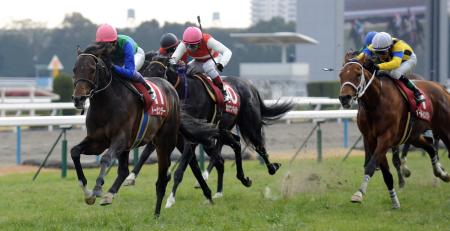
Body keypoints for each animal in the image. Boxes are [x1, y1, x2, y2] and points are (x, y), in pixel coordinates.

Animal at [70, 45, 218, 217]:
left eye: (92, 70)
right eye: (74, 69)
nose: (78, 99)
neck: (106, 104)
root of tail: (171, 89)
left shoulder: (121, 139)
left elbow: (106, 158)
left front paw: (98, 188)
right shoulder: (97, 141)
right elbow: (74, 151)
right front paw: (88, 193)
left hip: (165, 141)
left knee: (163, 177)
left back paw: (157, 213)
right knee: (126, 170)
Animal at [125, 54, 296, 208]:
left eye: (160, 70)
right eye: (147, 69)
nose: (150, 88)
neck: (185, 92)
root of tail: (250, 86)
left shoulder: (190, 139)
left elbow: (180, 169)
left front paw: (170, 199)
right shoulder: (184, 136)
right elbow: (185, 163)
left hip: (248, 124)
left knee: (258, 145)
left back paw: (271, 168)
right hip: (220, 130)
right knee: (235, 143)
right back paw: (237, 180)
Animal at [338, 58, 450, 208]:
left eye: (358, 74)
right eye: (341, 75)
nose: (345, 98)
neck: (376, 102)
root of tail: (442, 88)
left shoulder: (386, 138)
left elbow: (371, 166)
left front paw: (359, 193)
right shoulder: (371, 139)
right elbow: (386, 174)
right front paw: (395, 201)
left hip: (444, 129)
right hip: (413, 135)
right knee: (431, 148)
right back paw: (441, 173)